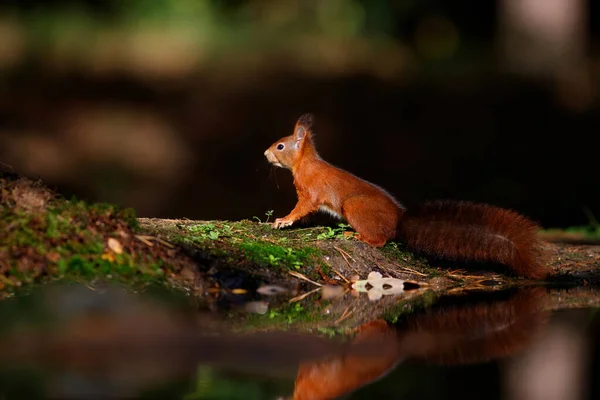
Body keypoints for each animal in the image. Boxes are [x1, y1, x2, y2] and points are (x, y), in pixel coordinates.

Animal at [264, 114, 548, 280]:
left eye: (280, 146)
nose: (265, 154)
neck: (304, 163)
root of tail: (400, 219)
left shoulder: (310, 190)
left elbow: (302, 207)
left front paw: (284, 220)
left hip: (354, 206)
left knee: (380, 239)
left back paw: (357, 236)